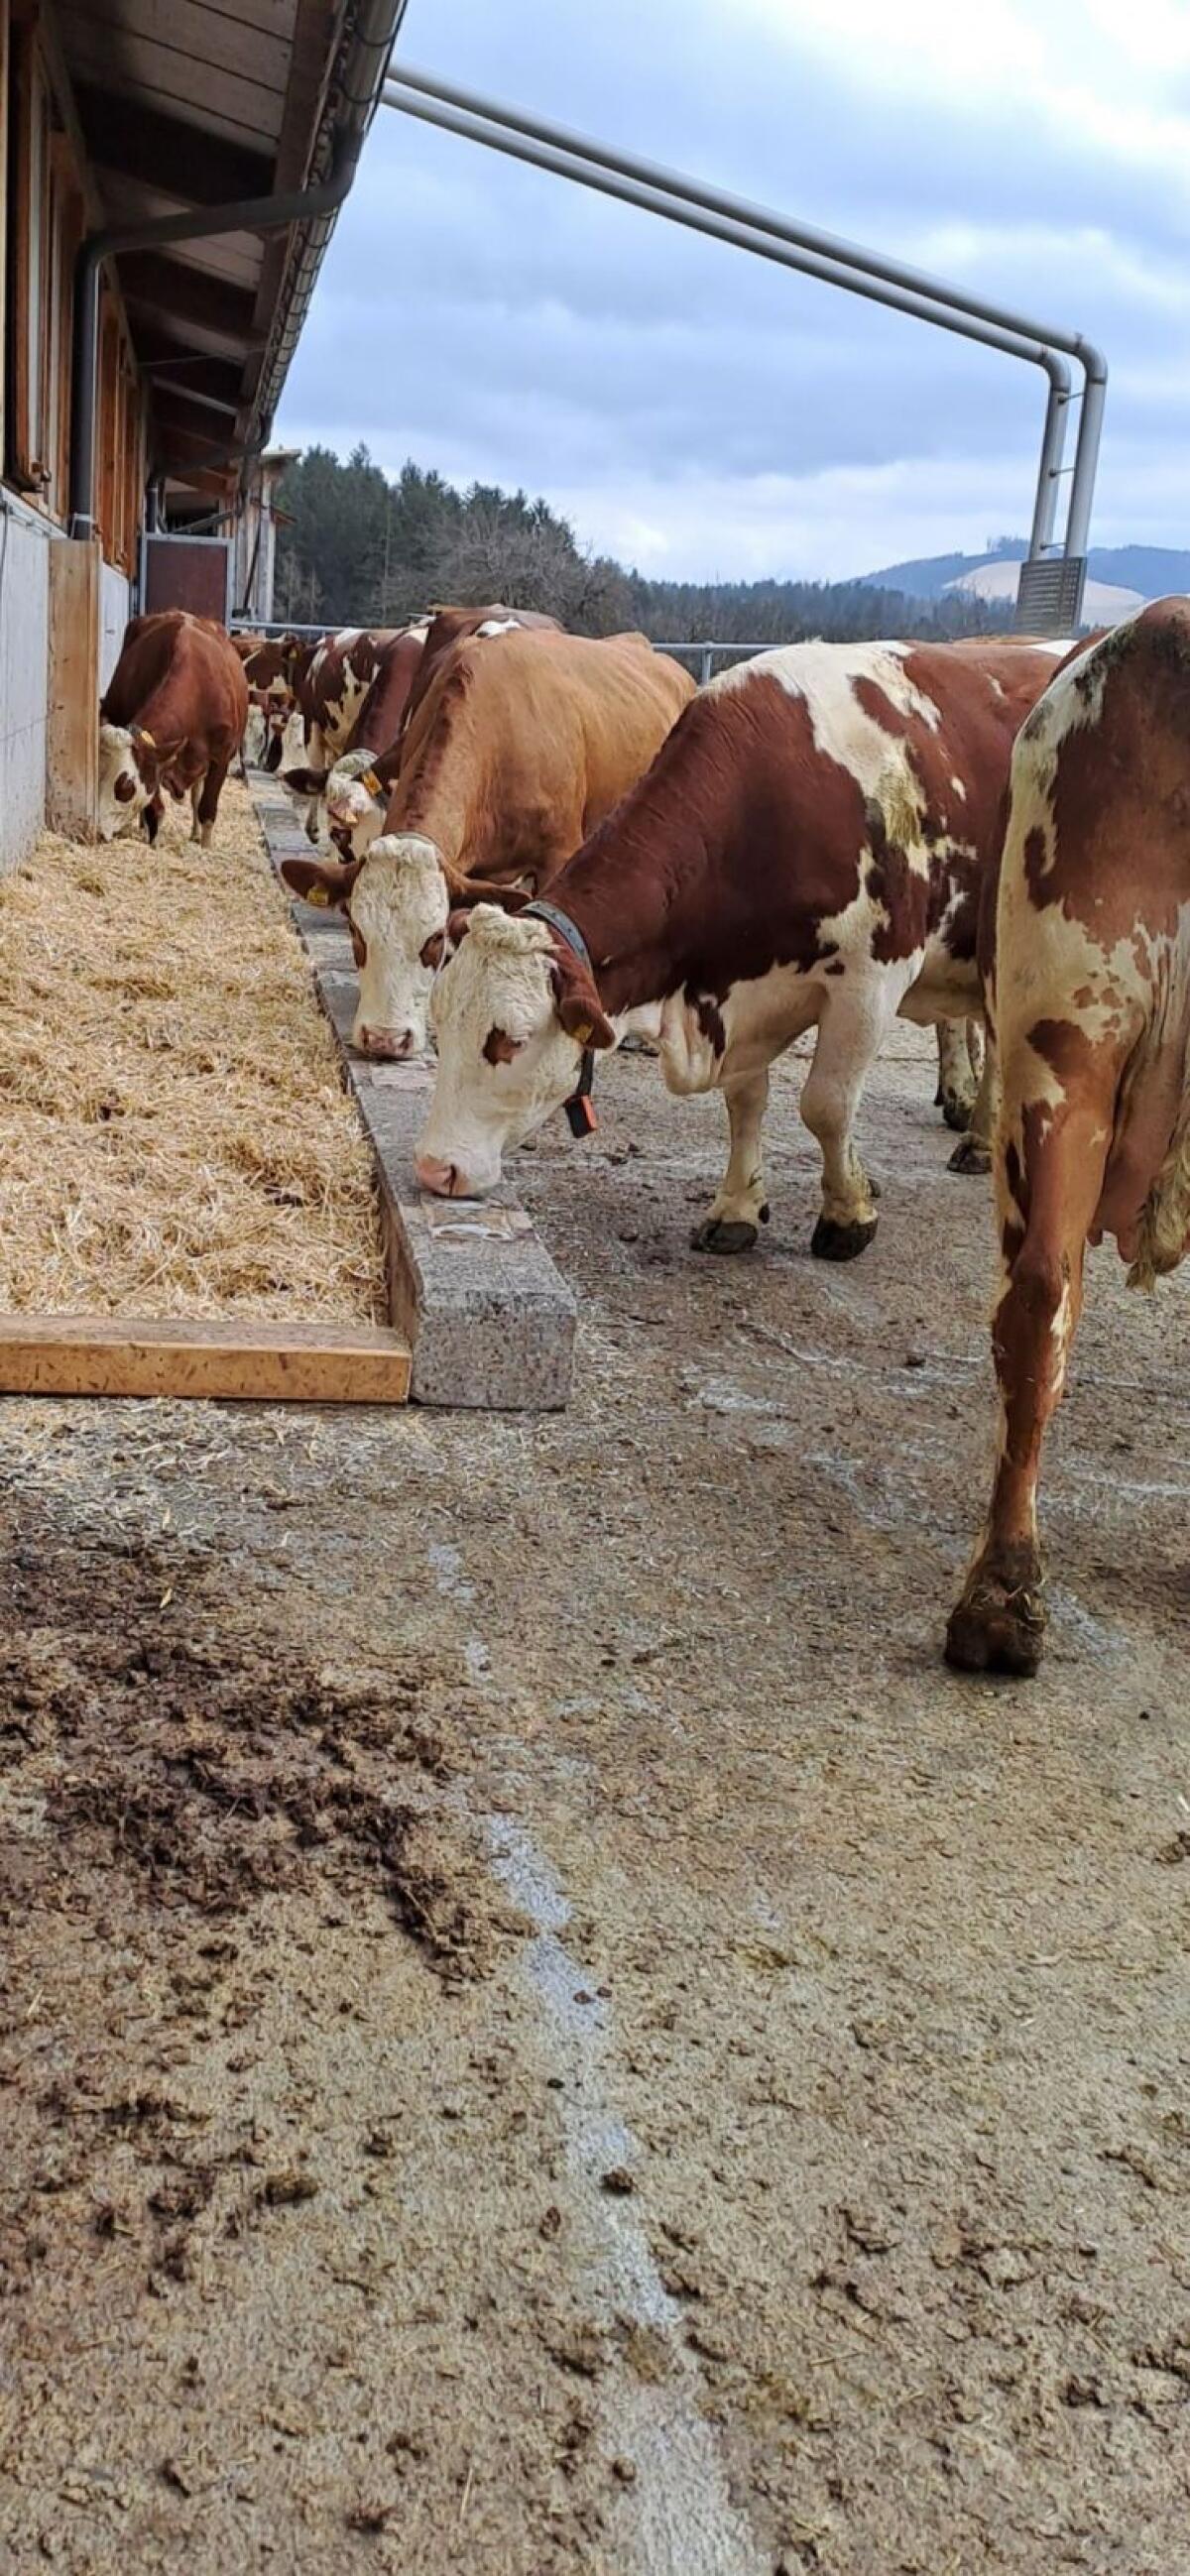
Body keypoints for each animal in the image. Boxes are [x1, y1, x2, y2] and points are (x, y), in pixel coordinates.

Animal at [99, 610, 248, 847]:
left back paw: (195, 833)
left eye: (125, 787)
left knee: (196, 795)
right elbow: (155, 807)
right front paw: (154, 841)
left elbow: (207, 807)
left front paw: (205, 846)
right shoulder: (157, 758)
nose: (98, 831)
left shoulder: (221, 757)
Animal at [412, 635, 1068, 1242]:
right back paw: (982, 1137)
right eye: (441, 1025)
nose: (434, 1169)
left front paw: (846, 1215)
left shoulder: (872, 981)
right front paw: (737, 1207)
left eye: (510, 1040)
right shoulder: (736, 988)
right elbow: (745, 1100)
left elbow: (826, 1104)